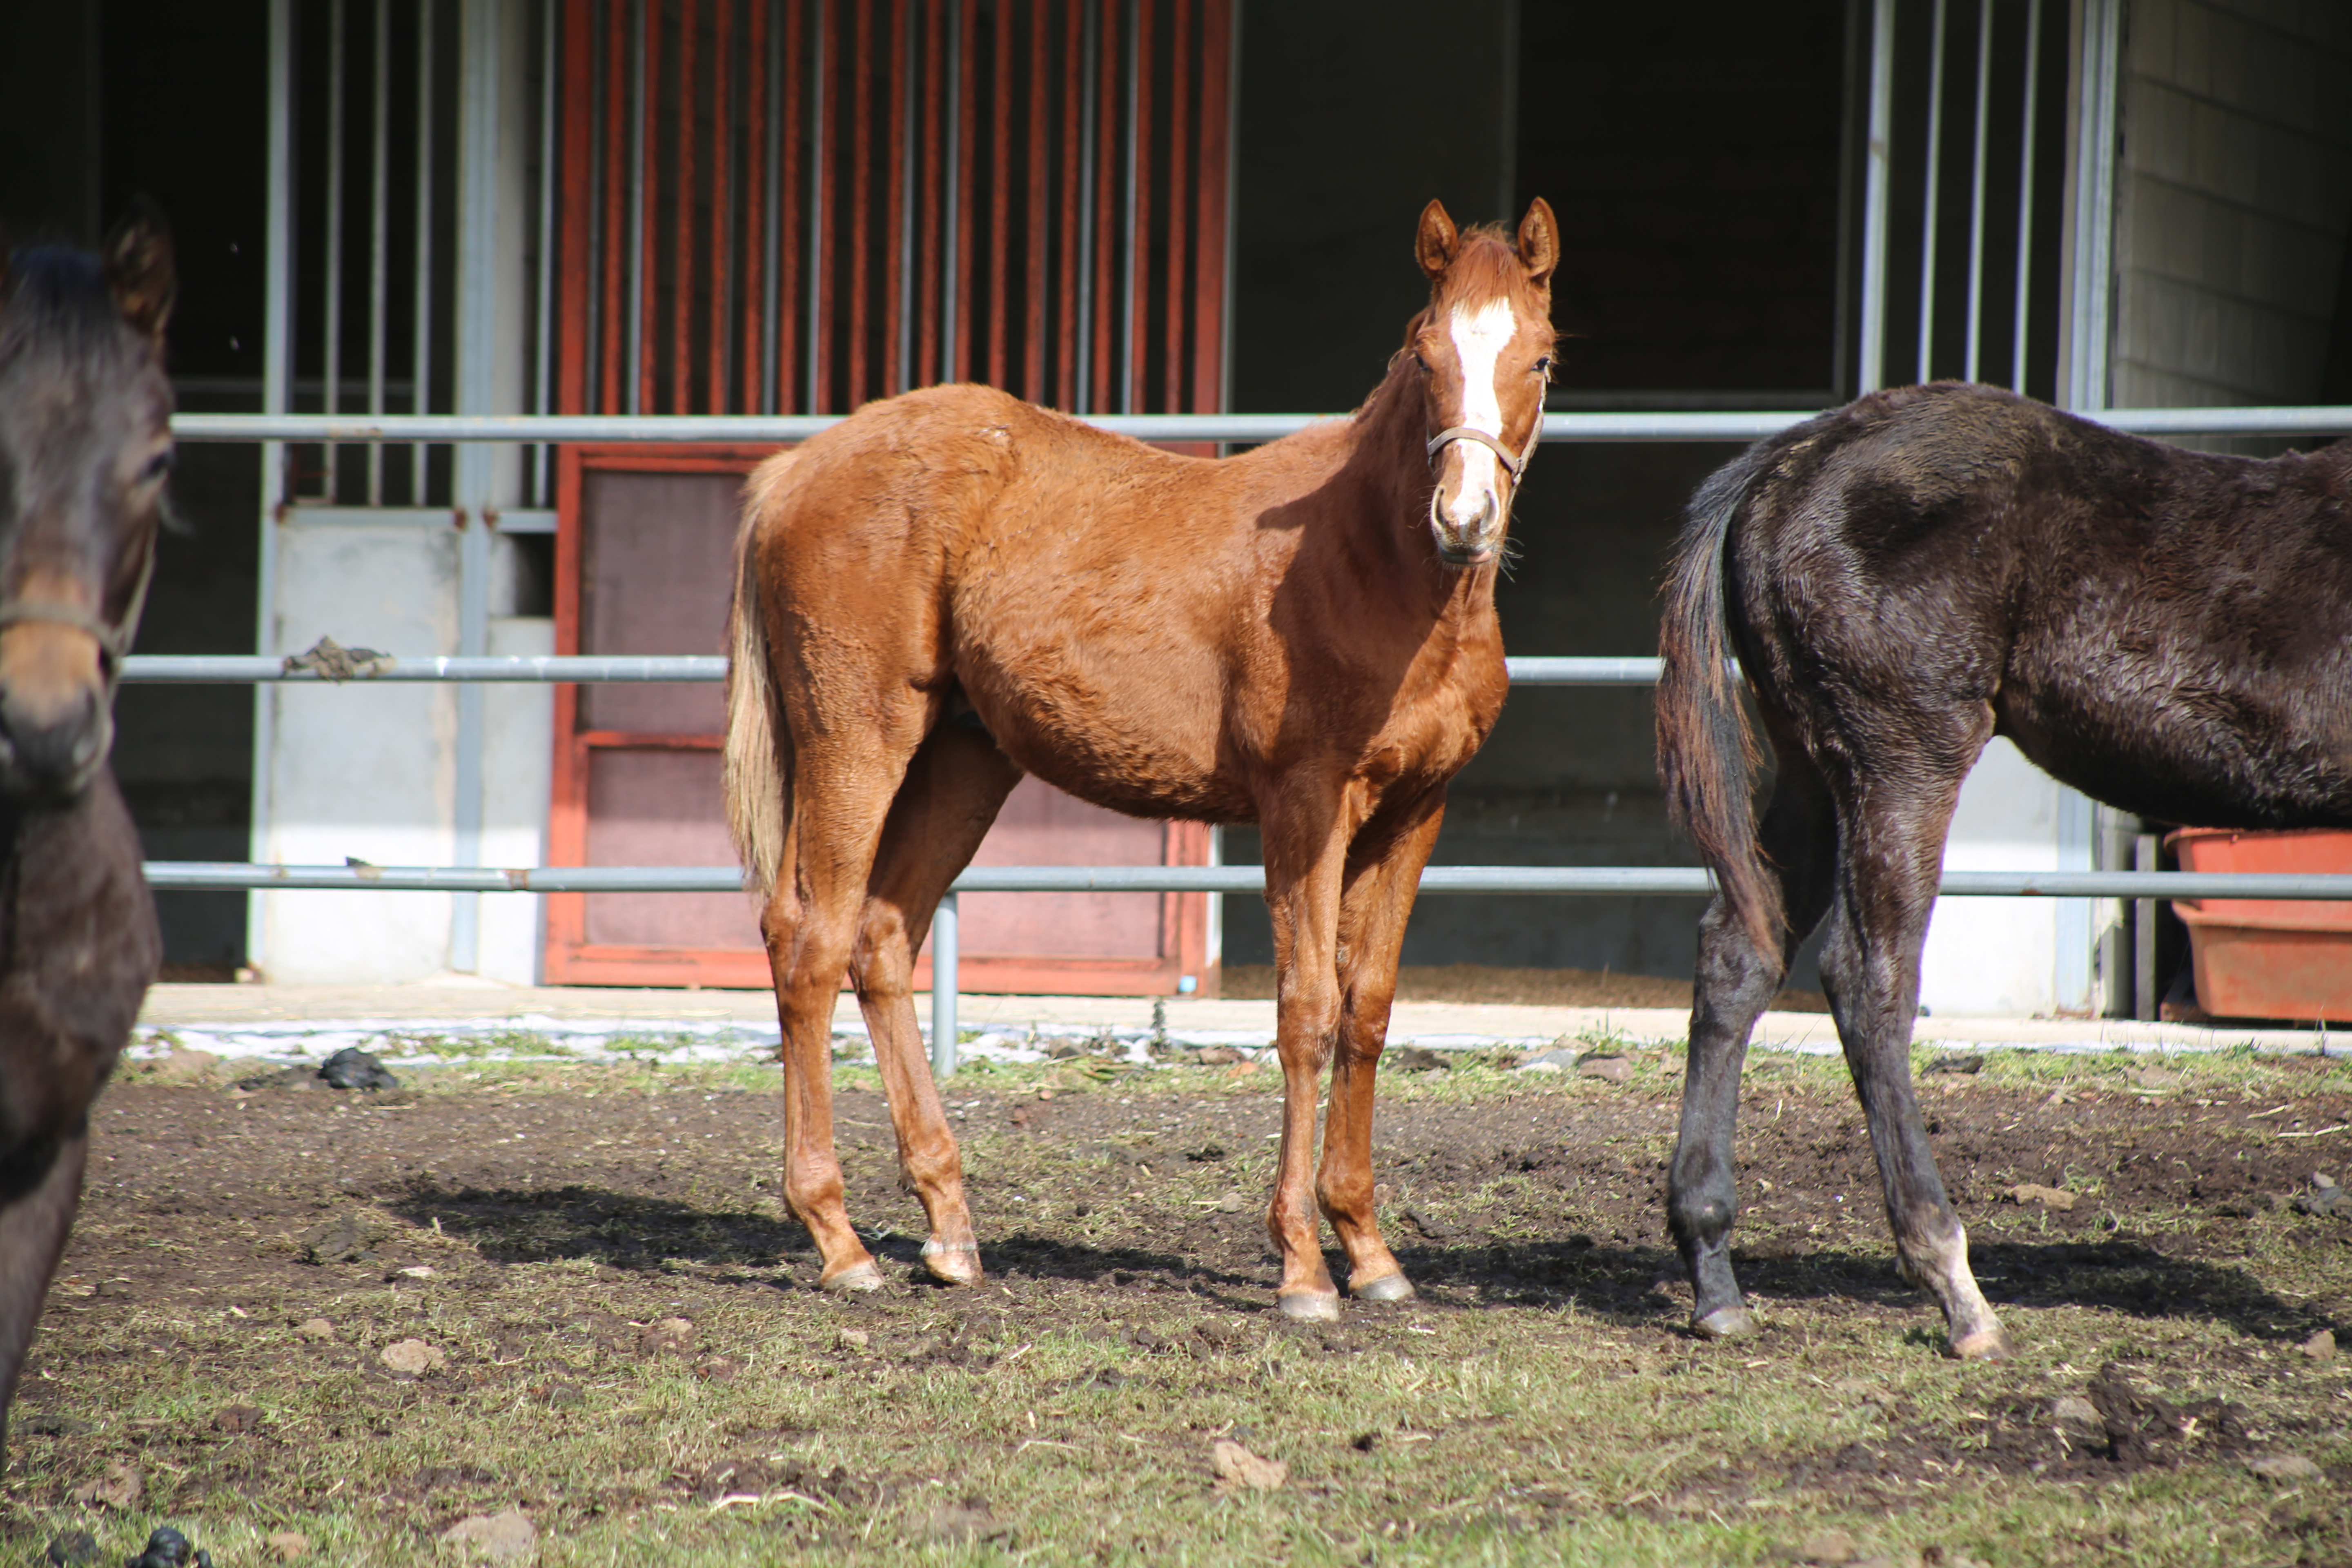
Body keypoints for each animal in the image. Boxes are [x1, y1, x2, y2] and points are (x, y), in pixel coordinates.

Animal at [719, 202, 1561, 1316]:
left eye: (1540, 357)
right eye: (1423, 355)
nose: (1462, 522)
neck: (1370, 563)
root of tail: (793, 473)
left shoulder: (1415, 811)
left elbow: (1368, 1011)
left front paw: (1371, 1253)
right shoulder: (1304, 808)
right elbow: (1305, 1011)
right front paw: (1302, 1266)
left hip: (963, 761)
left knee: (881, 939)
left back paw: (949, 1231)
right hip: (856, 739)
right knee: (807, 939)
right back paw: (838, 1239)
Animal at [1656, 383, 2352, 1363]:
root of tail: (1785, 462)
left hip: (1811, 765)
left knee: (1738, 957)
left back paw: (1715, 1273)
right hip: (1901, 759)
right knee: (1868, 979)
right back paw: (1956, 1288)